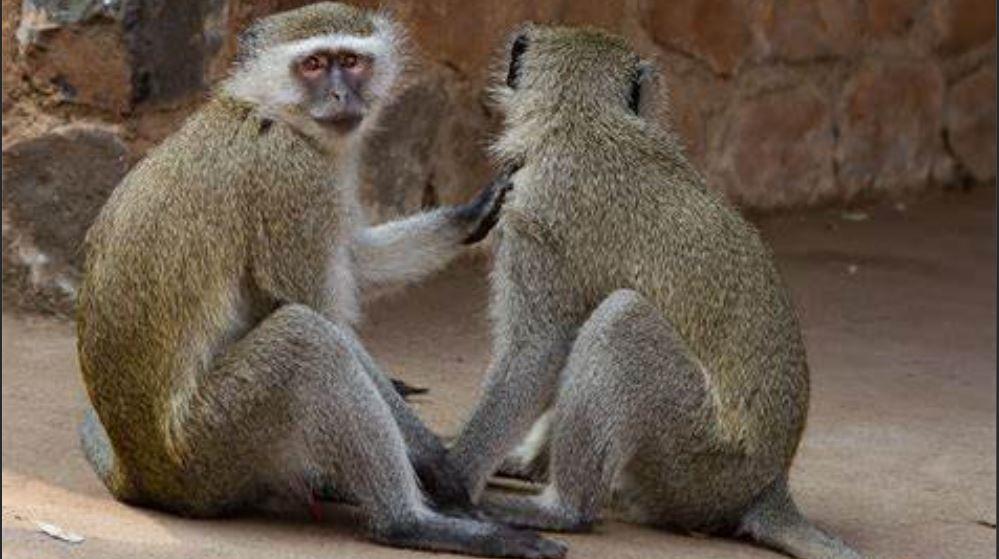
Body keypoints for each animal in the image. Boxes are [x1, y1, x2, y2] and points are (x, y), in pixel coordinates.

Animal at [75, 5, 566, 558]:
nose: (340, 96)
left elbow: (355, 260)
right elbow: (328, 321)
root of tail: (140, 474)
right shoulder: (293, 177)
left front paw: (472, 214)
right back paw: (408, 522)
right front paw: (436, 463)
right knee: (307, 341)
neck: (270, 111)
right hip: (209, 447)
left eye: (350, 62)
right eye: (313, 65)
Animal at [443, 24, 865, 559]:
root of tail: (768, 486)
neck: (582, 119)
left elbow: (536, 351)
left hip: (696, 457)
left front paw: (452, 479)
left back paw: (562, 509)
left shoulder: (533, 217)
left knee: (622, 317)